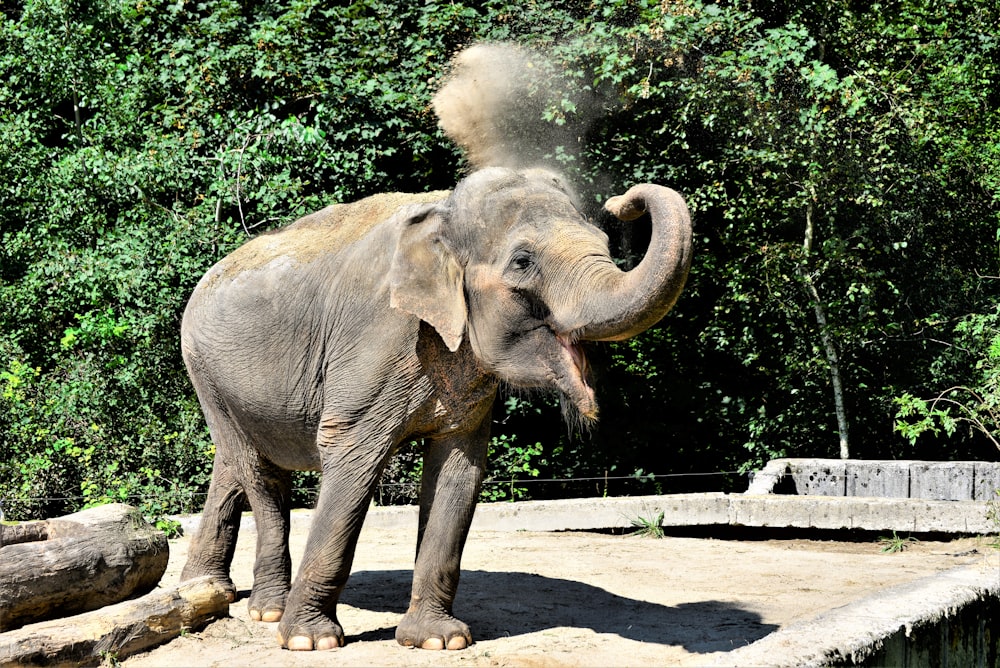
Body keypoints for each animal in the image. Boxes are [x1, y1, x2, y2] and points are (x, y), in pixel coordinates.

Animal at [180, 164, 692, 648]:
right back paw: (267, 612)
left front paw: (437, 640)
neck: (443, 213)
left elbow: (457, 471)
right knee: (259, 473)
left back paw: (208, 590)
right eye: (523, 261)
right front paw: (311, 641)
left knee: (232, 465)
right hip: (204, 371)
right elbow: (349, 459)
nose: (623, 202)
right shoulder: (374, 342)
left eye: (604, 241)